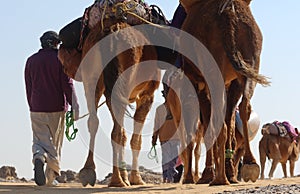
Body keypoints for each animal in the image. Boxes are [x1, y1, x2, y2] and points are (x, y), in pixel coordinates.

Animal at [166, 0, 270, 185]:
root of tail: (229, 15)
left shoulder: (197, 81)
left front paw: (205, 175)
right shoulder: (230, 81)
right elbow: (228, 119)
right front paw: (228, 172)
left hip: (212, 66)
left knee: (212, 121)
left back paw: (218, 178)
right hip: (251, 58)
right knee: (244, 106)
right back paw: (248, 165)